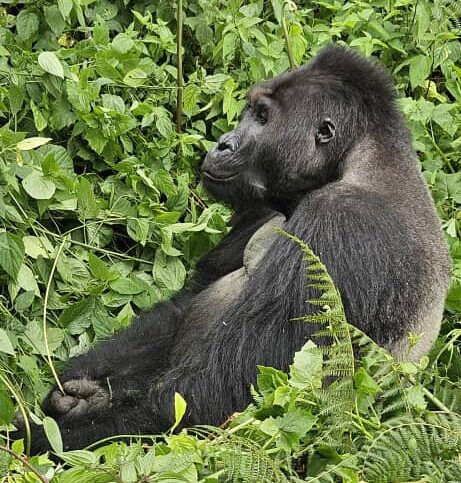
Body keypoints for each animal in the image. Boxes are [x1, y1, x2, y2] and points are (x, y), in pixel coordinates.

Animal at [17, 45, 450, 454]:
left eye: (262, 116)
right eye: (250, 111)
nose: (223, 144)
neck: (360, 161)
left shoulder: (342, 222)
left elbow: (214, 393)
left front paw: (37, 438)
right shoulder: (261, 205)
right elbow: (183, 306)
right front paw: (77, 388)